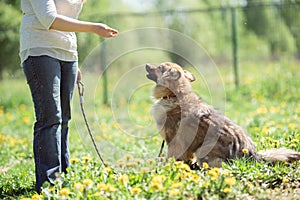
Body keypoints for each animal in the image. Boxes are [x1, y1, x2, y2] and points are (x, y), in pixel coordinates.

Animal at [146, 62, 300, 167]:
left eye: (159, 67)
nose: (147, 65)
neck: (174, 95)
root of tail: (253, 155)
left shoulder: (175, 141)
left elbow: (171, 158)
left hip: (203, 150)